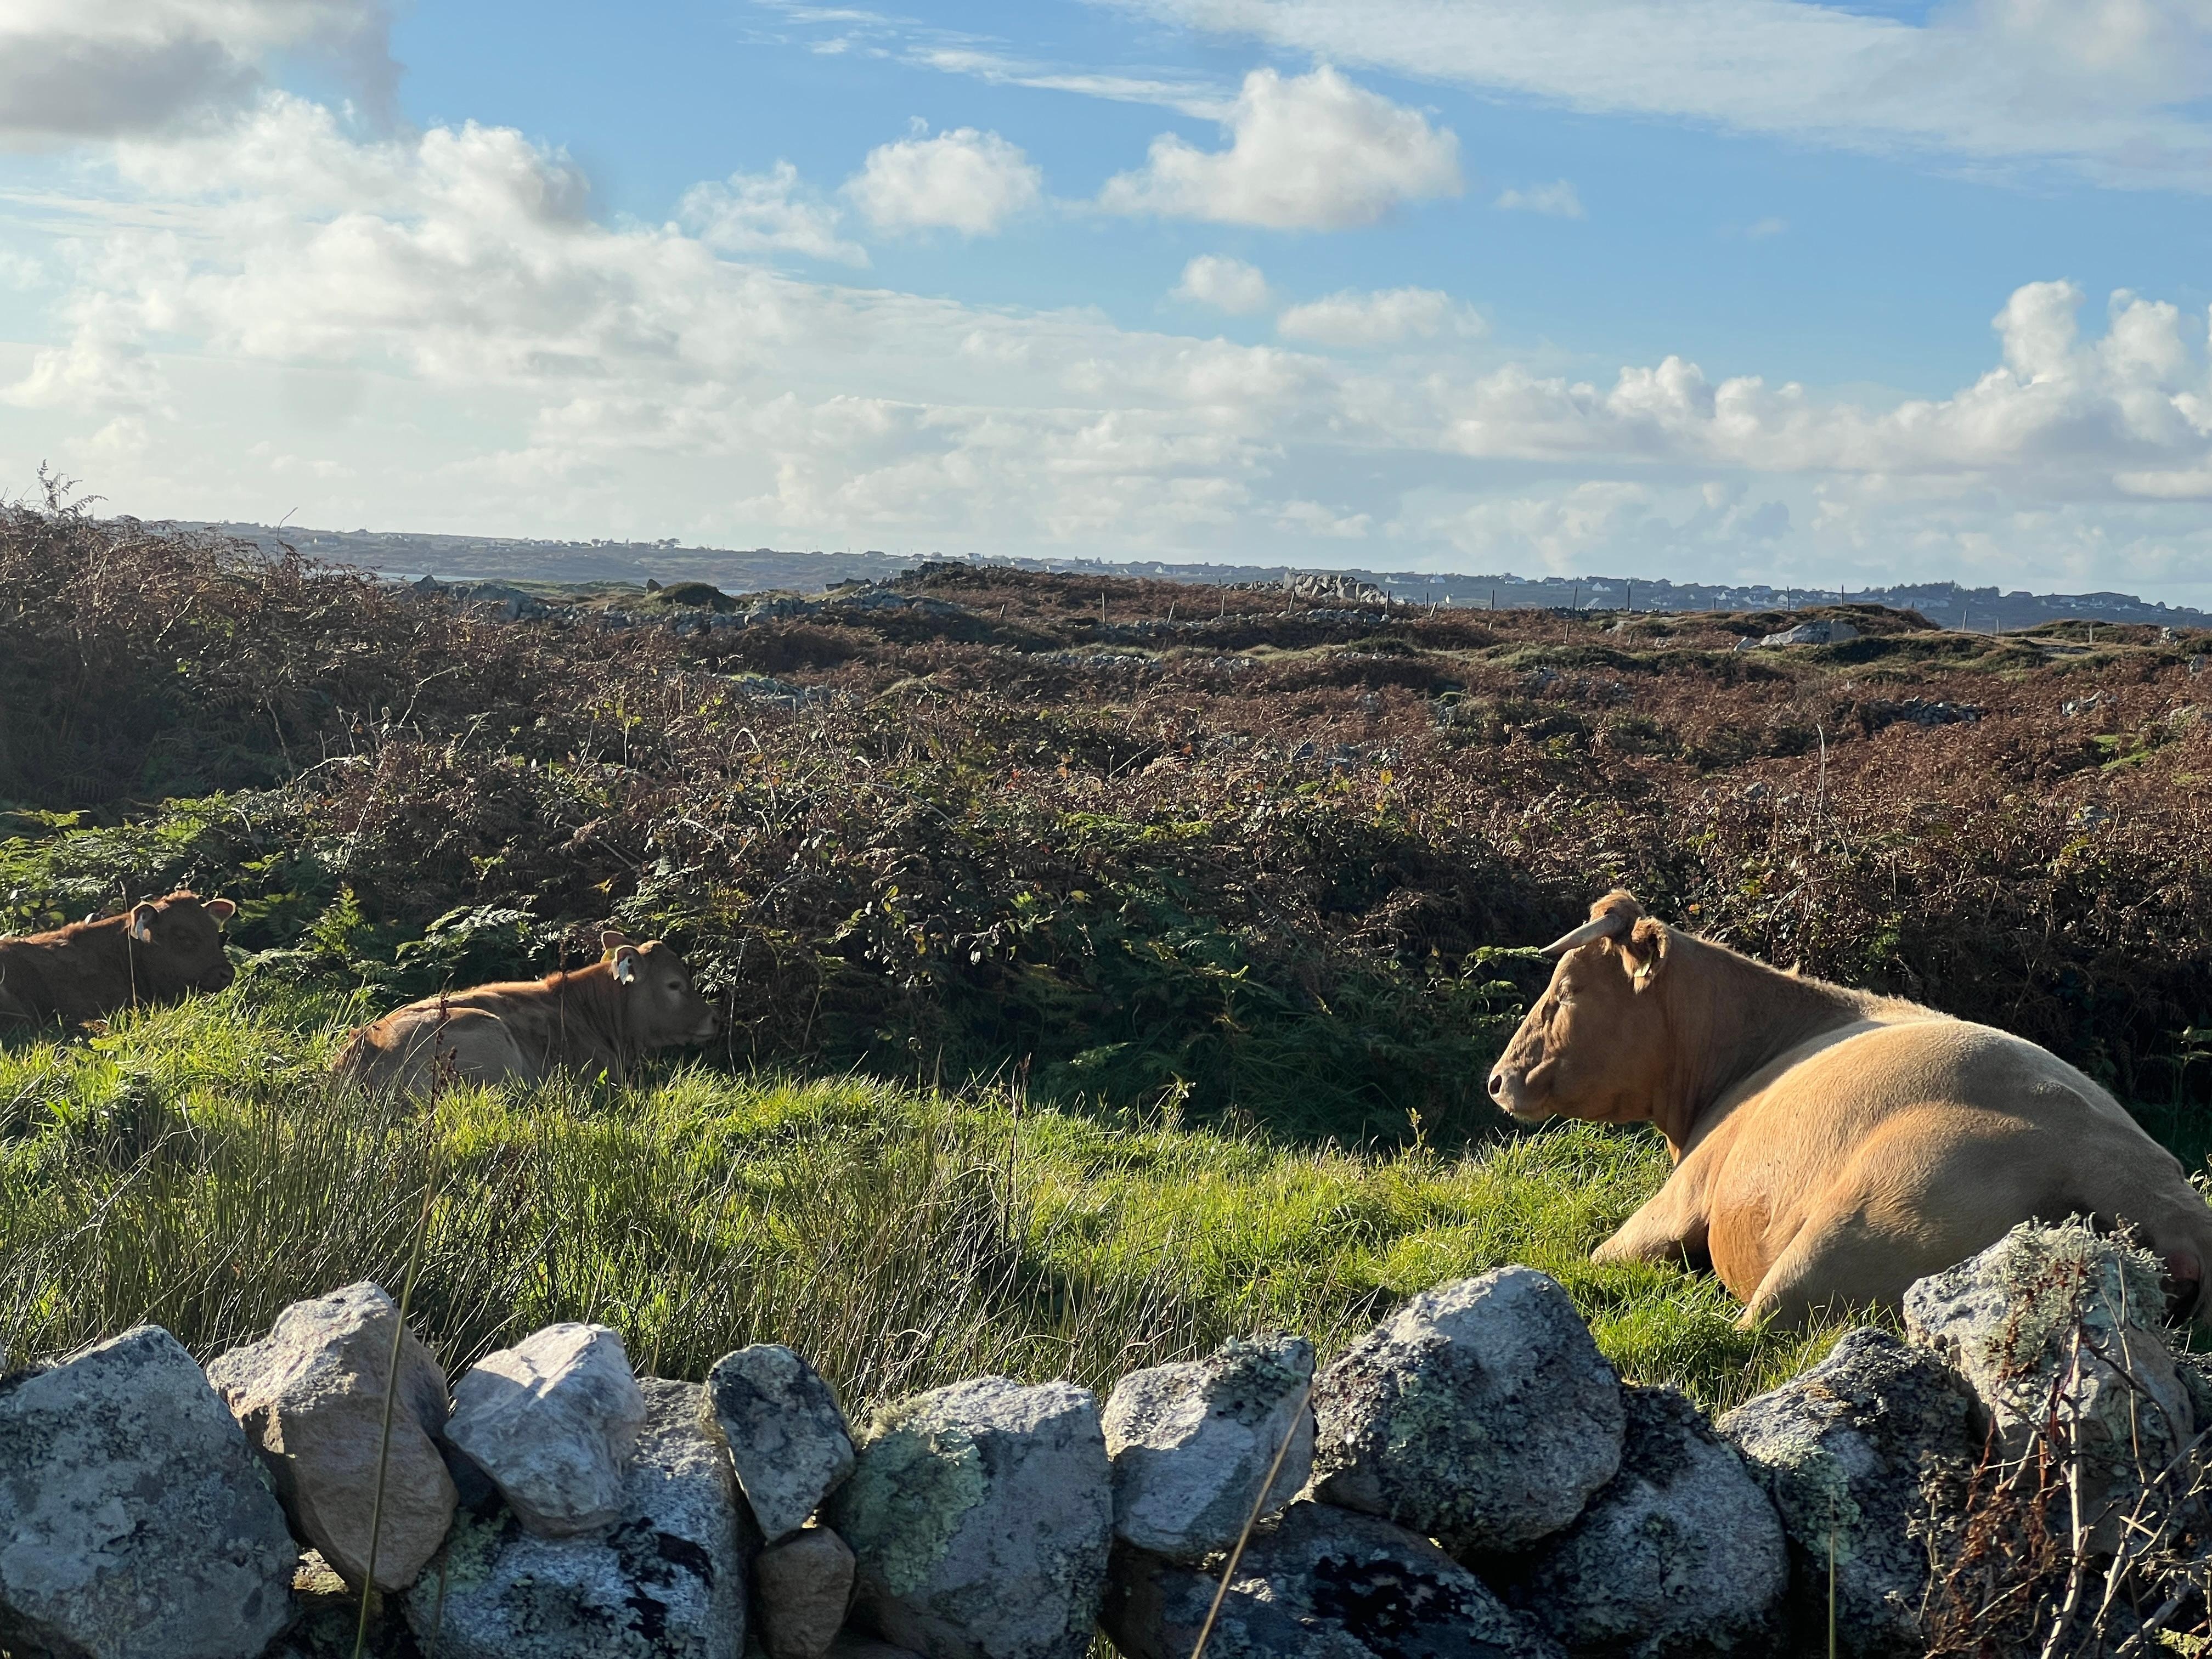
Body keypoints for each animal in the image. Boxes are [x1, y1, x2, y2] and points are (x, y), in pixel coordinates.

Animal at [1487, 889, 2212, 1329]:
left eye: (1567, 992)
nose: (1498, 1080)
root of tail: (2147, 1192)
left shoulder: (1677, 1199)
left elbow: (1592, 1257)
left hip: (1841, 1241)